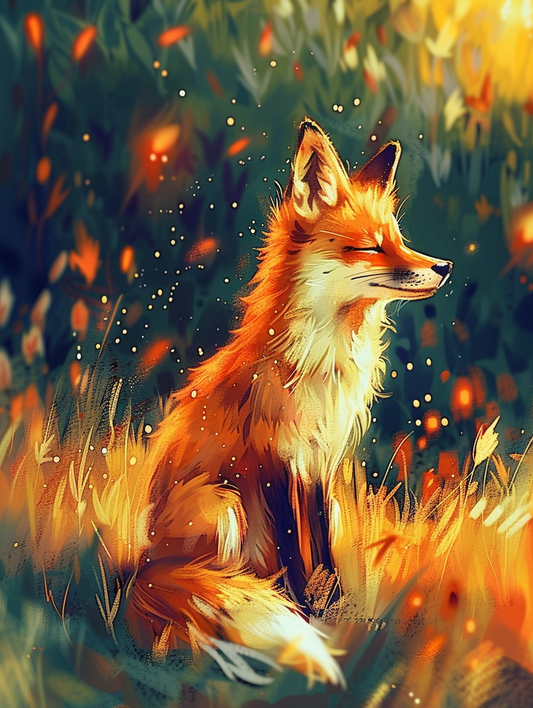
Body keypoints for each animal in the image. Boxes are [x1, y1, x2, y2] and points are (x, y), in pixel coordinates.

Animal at [129, 118, 453, 686]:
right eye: (372, 248)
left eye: (399, 240)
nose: (444, 266)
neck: (320, 364)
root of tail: (142, 571)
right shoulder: (271, 461)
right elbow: (290, 553)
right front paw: (302, 613)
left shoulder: (321, 464)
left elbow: (319, 548)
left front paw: (340, 610)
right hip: (223, 504)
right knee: (207, 577)